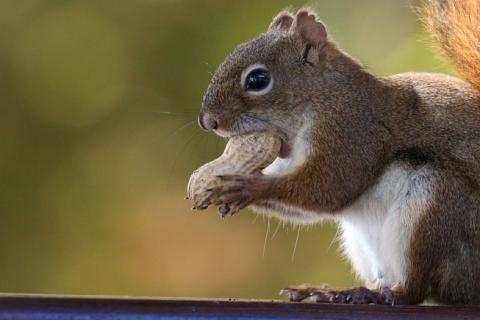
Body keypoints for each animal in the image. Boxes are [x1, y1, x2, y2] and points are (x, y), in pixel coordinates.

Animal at [196, 0, 480, 304]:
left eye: (258, 79)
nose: (208, 122)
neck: (323, 96)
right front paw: (218, 191)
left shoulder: (352, 130)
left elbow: (330, 188)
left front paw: (249, 188)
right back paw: (337, 291)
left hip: (435, 209)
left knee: (414, 292)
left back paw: (378, 294)